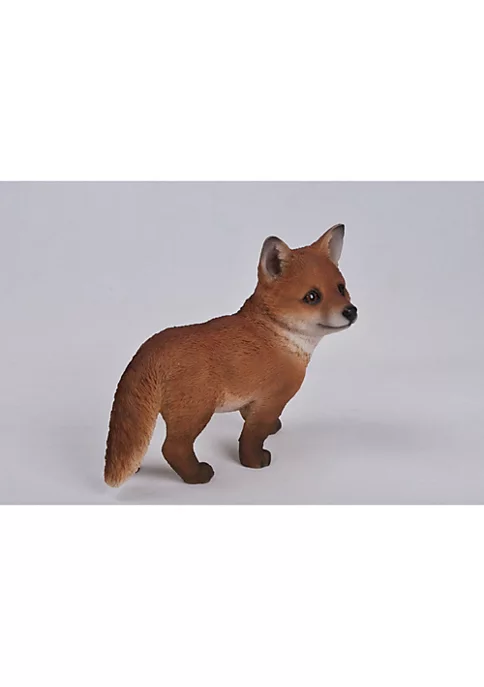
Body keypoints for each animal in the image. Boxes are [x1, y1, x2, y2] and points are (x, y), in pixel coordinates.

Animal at [104, 223, 357, 488]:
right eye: (312, 296)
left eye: (341, 288)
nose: (351, 311)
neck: (276, 336)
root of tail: (150, 346)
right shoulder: (271, 399)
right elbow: (251, 436)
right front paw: (253, 462)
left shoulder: (254, 401)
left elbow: (251, 420)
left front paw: (272, 429)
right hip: (195, 413)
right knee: (172, 448)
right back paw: (197, 475)